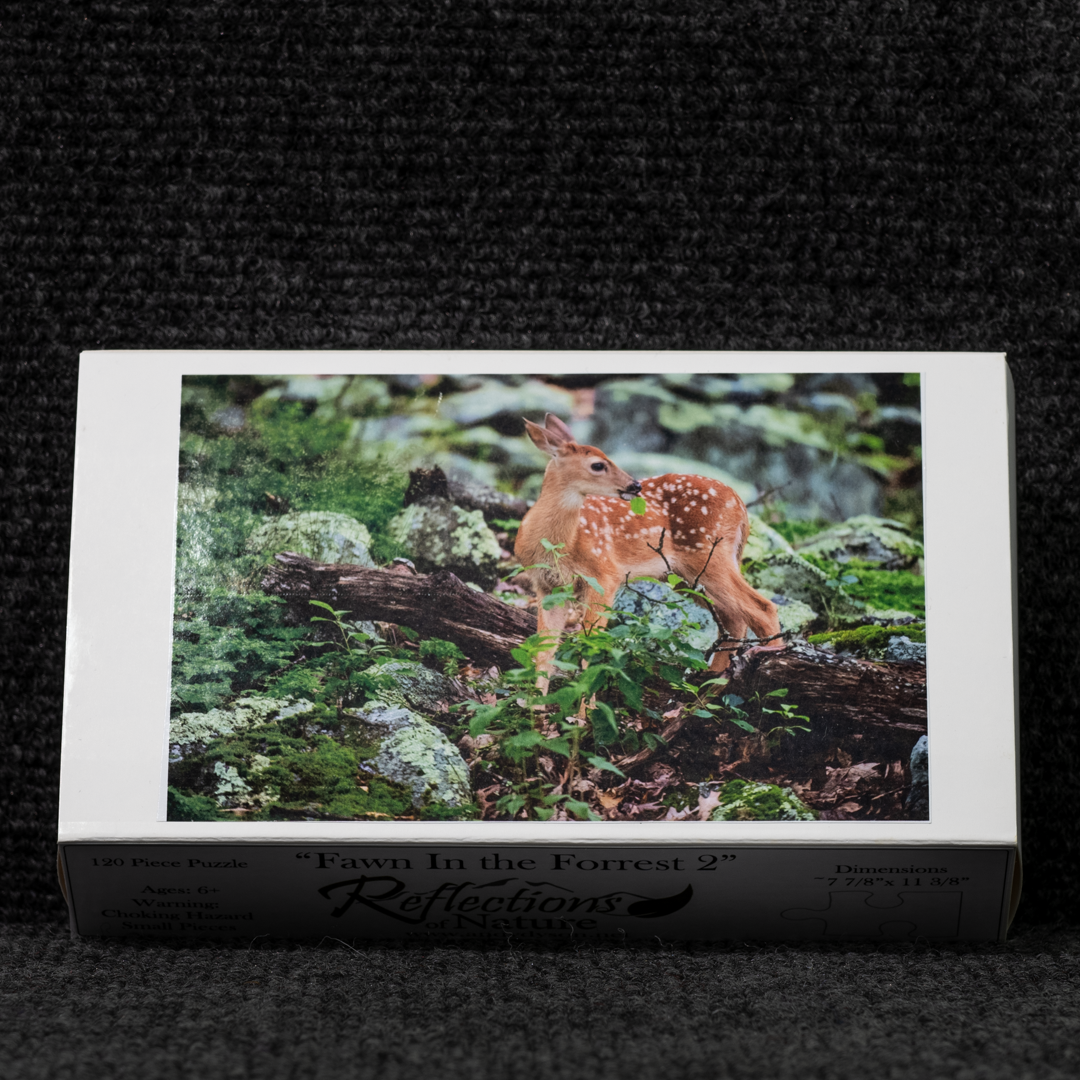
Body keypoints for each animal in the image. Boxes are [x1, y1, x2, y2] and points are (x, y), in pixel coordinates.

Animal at [514, 413, 783, 694]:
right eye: (598, 465)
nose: (634, 485)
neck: (561, 542)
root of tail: (741, 504)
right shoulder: (547, 587)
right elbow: (543, 652)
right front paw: (537, 703)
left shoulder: (604, 574)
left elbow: (592, 647)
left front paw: (583, 706)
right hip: (686, 577)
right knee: (734, 618)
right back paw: (712, 684)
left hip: (708, 556)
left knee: (762, 608)